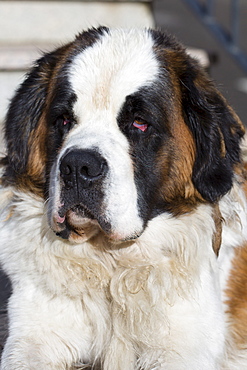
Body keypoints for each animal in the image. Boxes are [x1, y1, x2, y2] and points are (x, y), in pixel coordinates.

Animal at [0, 27, 247, 368]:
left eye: (139, 123)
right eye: (63, 120)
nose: (78, 166)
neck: (113, 264)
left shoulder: (182, 347)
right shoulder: (33, 336)